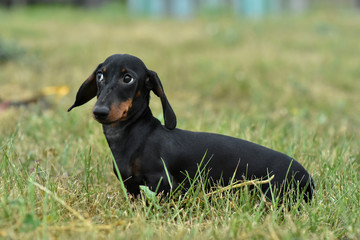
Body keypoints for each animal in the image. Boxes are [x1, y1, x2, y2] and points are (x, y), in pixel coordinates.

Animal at [68, 53, 316, 202]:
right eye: (100, 76)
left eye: (127, 78)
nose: (99, 111)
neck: (135, 135)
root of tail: (309, 178)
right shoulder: (131, 188)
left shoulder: (163, 183)